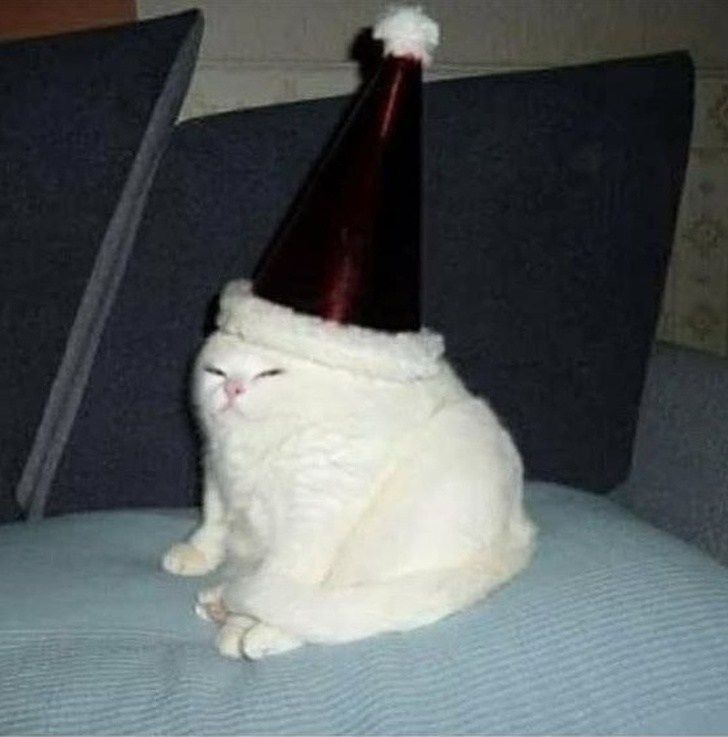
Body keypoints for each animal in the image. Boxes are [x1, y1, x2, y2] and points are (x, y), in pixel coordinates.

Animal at [162, 278, 536, 660]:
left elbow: (285, 573)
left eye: (270, 373)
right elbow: (213, 523)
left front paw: (243, 626)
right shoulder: (215, 469)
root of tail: (518, 534)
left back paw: (250, 627)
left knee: (324, 607)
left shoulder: (314, 514)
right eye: (216, 372)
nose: (232, 388)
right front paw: (197, 552)